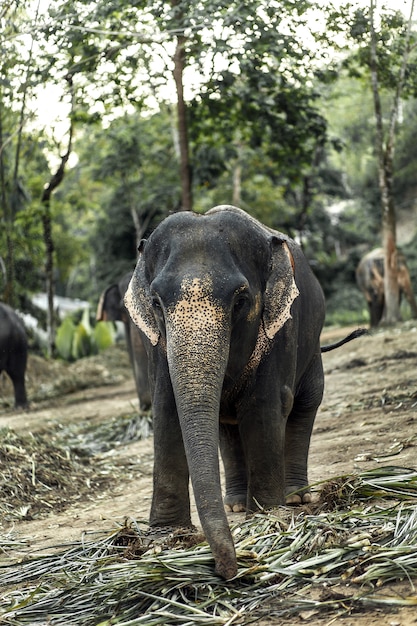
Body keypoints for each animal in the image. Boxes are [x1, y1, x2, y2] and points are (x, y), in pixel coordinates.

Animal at [123, 206, 360, 580]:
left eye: (241, 300)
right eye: (157, 303)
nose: (227, 569)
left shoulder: (281, 328)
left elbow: (265, 406)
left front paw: (267, 515)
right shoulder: (155, 345)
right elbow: (166, 411)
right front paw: (166, 535)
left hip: (311, 351)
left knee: (305, 406)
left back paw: (294, 498)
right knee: (226, 427)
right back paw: (235, 503)